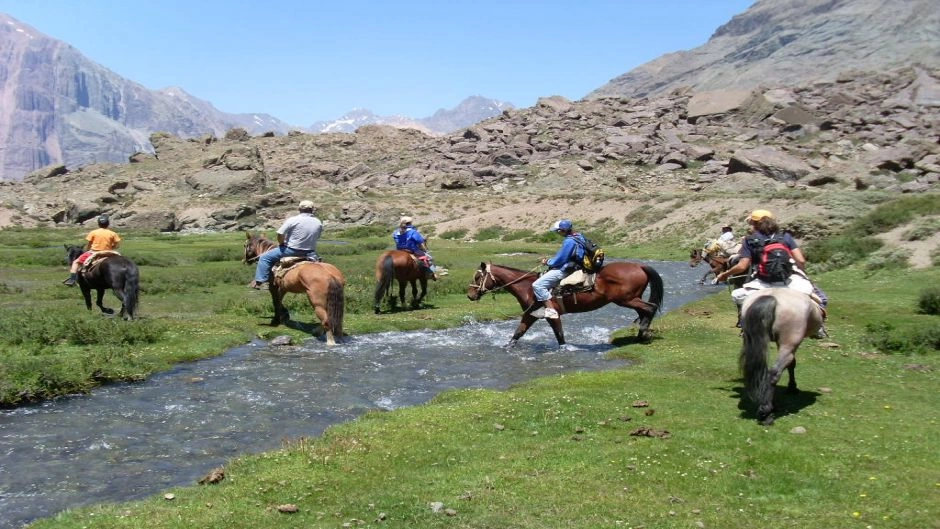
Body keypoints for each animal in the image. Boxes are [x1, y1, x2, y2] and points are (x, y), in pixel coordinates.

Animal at [466, 260, 664, 346]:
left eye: (477, 277)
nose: (470, 295)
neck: (528, 287)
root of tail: (639, 266)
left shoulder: (552, 315)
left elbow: (560, 336)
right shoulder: (531, 314)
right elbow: (518, 333)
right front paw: (507, 347)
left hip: (626, 300)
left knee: (650, 308)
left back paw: (644, 334)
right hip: (632, 299)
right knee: (644, 311)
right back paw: (640, 335)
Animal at [740, 286, 824, 422]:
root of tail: (772, 296)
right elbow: (792, 364)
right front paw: (792, 387)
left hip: (751, 339)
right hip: (789, 344)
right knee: (774, 372)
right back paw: (766, 411)